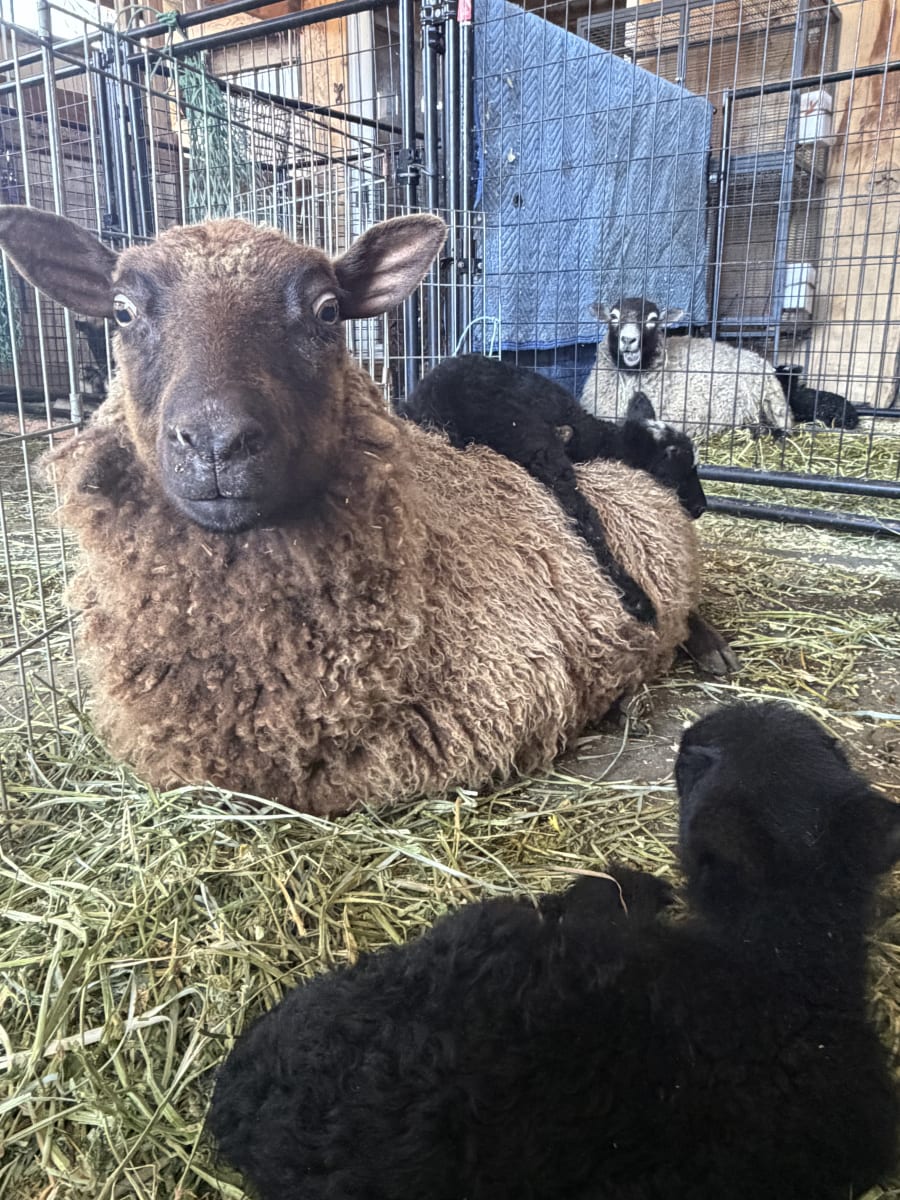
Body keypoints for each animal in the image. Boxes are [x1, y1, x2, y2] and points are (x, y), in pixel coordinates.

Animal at [404, 357, 738, 675]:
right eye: (681, 467)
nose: (701, 507)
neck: (602, 438)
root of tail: (437, 402)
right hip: (528, 437)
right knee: (582, 516)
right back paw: (639, 600)